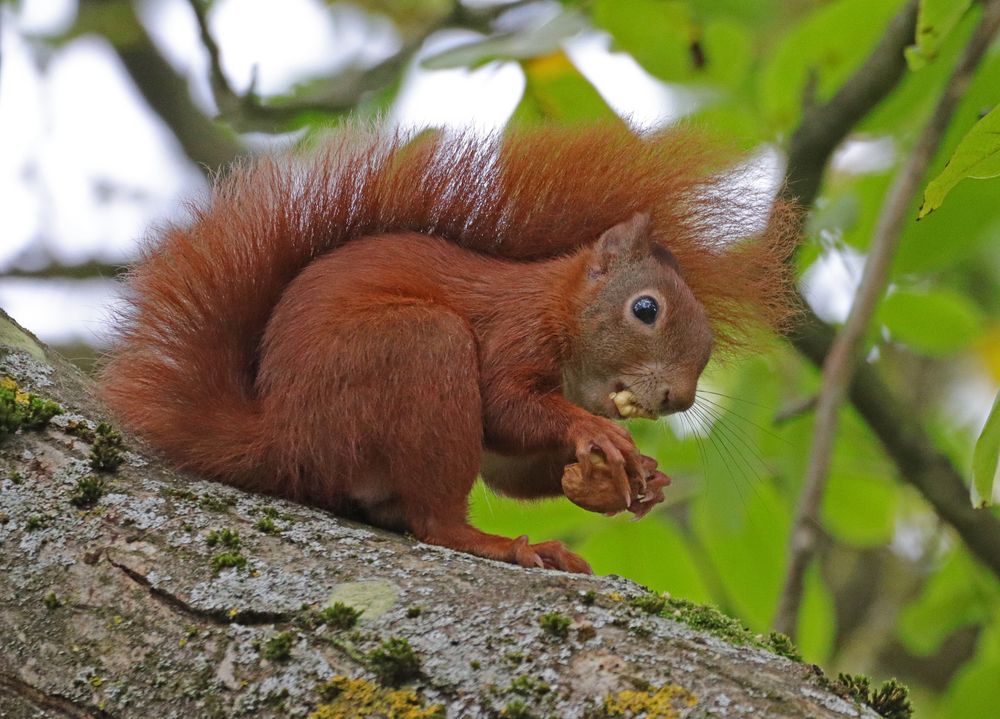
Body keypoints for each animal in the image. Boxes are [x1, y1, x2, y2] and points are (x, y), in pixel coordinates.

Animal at [97, 124, 792, 572]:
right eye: (646, 309)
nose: (678, 397)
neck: (557, 308)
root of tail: (280, 436)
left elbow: (512, 467)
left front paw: (635, 478)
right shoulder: (512, 331)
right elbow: (507, 407)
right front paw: (599, 436)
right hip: (419, 349)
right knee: (436, 523)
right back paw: (506, 546)